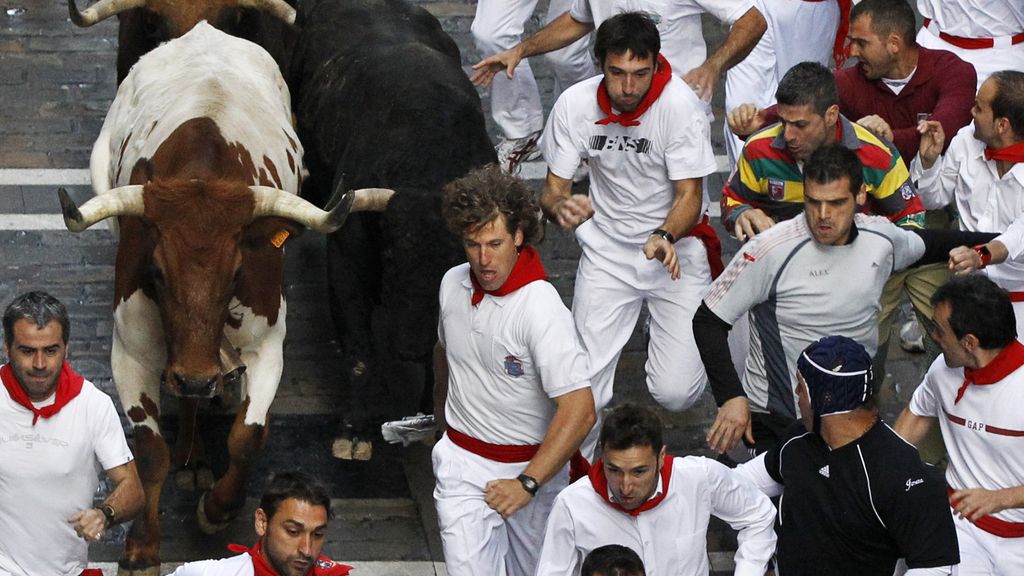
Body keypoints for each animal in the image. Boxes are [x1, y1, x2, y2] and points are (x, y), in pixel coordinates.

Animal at [60, 20, 387, 569]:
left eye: (237, 271)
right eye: (155, 269)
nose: (196, 374)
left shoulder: (267, 344)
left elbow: (247, 436)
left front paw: (218, 508)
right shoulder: (132, 351)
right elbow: (149, 452)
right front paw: (143, 546)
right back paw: (192, 452)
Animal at [288, 0, 495, 455]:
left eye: (464, 262)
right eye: (389, 254)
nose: (409, 345)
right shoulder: (346, 261)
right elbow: (360, 351)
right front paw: (354, 431)